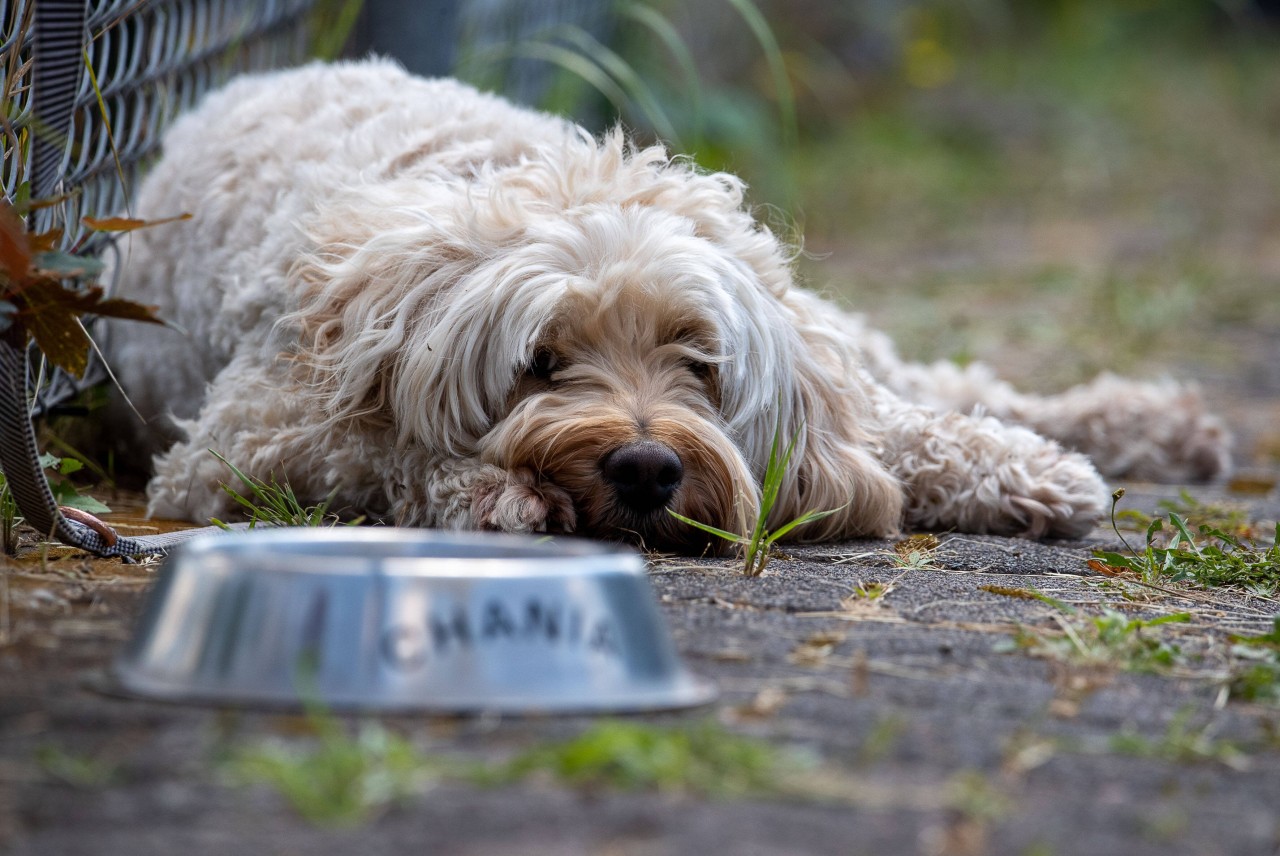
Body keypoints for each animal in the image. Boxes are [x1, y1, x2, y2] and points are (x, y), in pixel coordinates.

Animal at [102, 61, 1228, 555]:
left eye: (698, 360)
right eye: (540, 361)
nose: (645, 466)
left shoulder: (818, 369)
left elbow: (903, 428)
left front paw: (1027, 471)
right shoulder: (244, 442)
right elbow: (381, 454)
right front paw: (488, 490)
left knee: (933, 379)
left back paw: (1142, 424)